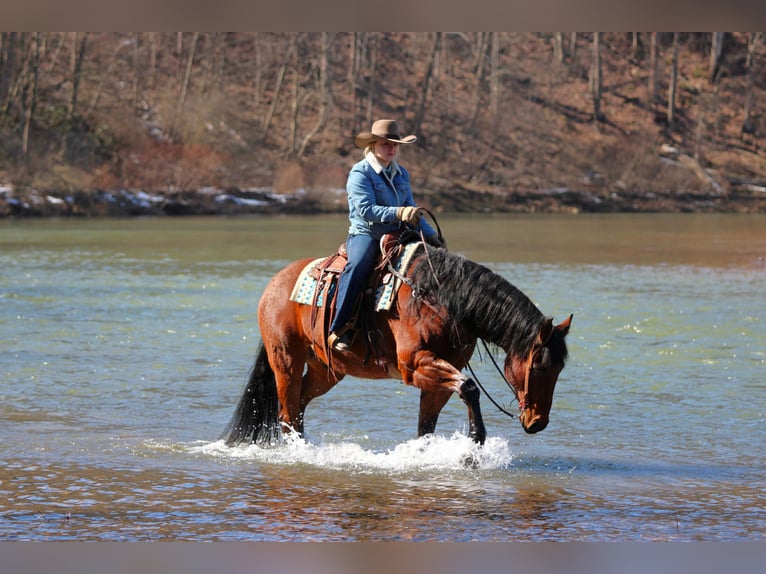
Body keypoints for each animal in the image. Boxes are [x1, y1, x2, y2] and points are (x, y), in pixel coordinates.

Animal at [221, 238, 572, 447]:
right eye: (539, 368)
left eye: (559, 370)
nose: (538, 423)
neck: (440, 297)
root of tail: (275, 283)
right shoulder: (415, 365)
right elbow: (470, 388)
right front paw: (475, 440)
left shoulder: (439, 375)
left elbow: (427, 423)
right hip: (286, 362)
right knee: (286, 412)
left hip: (326, 370)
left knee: (299, 407)